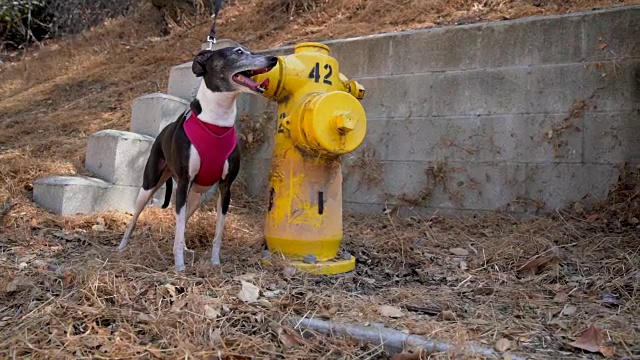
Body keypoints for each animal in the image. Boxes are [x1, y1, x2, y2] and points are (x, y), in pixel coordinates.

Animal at [117, 45, 278, 270]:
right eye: (238, 52)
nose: (273, 59)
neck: (216, 122)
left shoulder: (225, 187)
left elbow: (217, 232)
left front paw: (215, 262)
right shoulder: (184, 182)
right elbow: (177, 230)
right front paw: (179, 267)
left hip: (193, 199)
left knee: (183, 222)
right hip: (150, 185)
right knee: (137, 217)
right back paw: (122, 246)